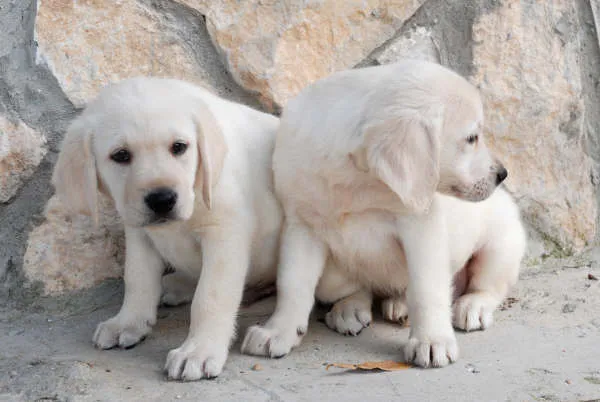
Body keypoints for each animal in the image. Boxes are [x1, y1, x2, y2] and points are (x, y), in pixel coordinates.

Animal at [52, 77, 282, 380]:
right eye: (121, 155)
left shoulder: (224, 233)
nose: (161, 200)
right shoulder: (138, 233)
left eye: (179, 147)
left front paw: (198, 350)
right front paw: (128, 322)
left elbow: (210, 296)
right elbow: (137, 278)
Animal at [240, 60, 524, 368]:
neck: (356, 181)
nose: (502, 174)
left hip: (501, 246)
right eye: (472, 138)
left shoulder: (421, 226)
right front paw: (277, 330)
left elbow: (427, 287)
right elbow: (292, 284)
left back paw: (470, 305)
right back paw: (352, 307)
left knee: (488, 286)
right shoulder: (301, 225)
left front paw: (431, 340)